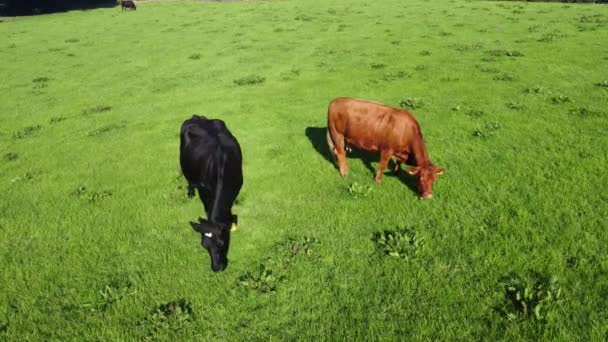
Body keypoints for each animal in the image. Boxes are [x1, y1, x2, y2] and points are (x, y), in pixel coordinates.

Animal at [179, 115, 243, 272]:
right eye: (204, 245)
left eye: (221, 243)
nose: (216, 268)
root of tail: (196, 116)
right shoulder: (204, 191)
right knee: (189, 180)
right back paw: (190, 193)